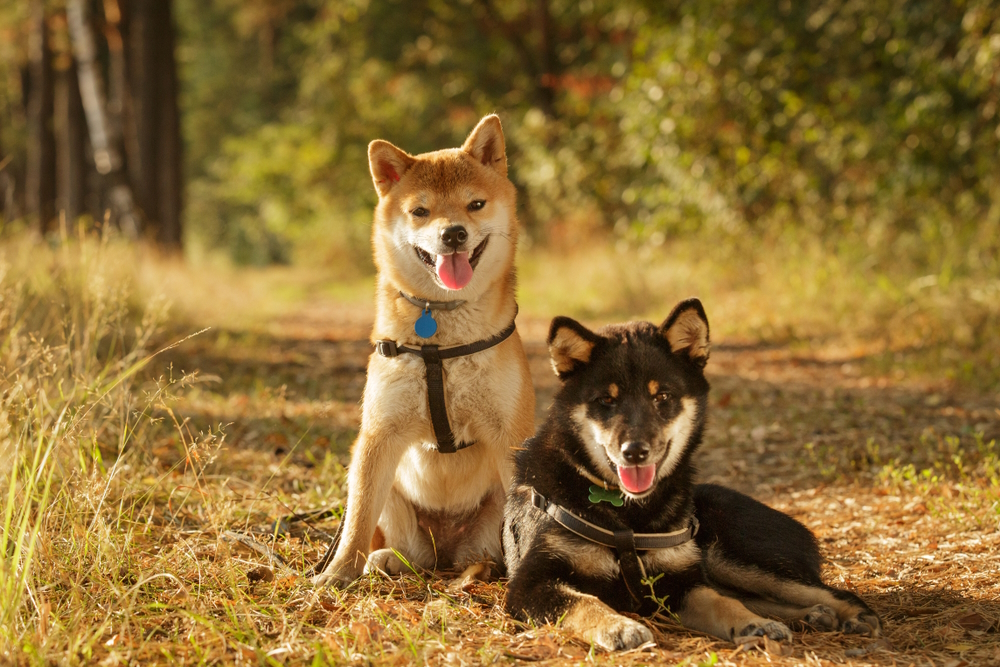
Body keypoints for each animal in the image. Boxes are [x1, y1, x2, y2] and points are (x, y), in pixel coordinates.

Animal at [314, 116, 536, 588]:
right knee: (405, 550)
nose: (453, 233)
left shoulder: (509, 436)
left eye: (475, 204)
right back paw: (383, 561)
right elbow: (357, 520)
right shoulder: (378, 437)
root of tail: (448, 550)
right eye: (420, 211)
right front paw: (339, 573)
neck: (442, 341)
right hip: (391, 499)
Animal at [504, 302, 880, 652]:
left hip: (731, 556)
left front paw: (753, 624)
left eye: (663, 396)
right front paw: (618, 626)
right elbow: (581, 602)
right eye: (606, 400)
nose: (634, 451)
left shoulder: (681, 581)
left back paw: (850, 614)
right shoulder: (529, 584)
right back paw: (812, 616)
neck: (628, 517)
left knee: (826, 592)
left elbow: (720, 602)